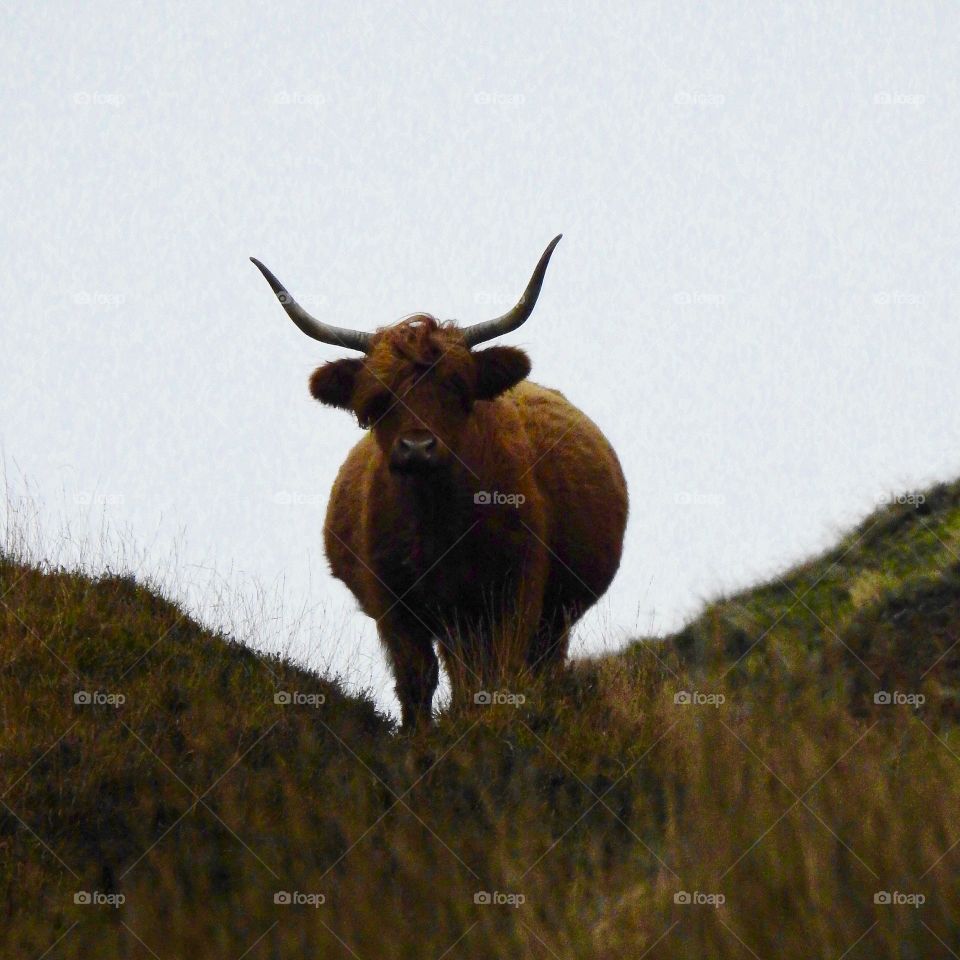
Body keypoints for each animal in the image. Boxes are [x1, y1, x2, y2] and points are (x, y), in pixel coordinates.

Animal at [253, 238, 632, 728]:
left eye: (456, 387)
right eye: (379, 396)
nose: (417, 448)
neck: (435, 520)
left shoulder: (516, 589)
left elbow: (501, 673)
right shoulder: (392, 603)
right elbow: (417, 679)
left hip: (552, 615)